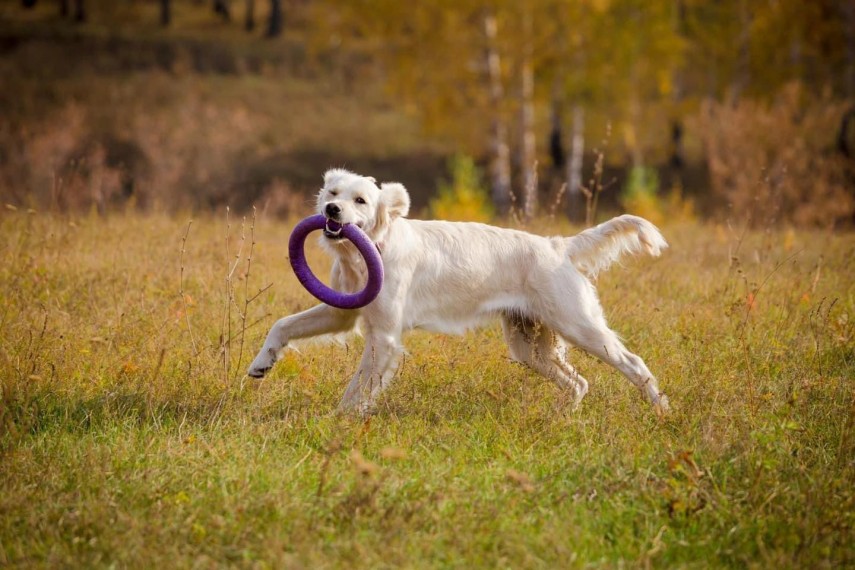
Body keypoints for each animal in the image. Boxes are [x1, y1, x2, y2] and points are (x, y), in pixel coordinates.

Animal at [251, 169, 672, 412]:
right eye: (333, 193)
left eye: (360, 200)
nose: (332, 211)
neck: (373, 249)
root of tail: (558, 246)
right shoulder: (341, 313)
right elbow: (282, 325)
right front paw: (261, 362)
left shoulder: (384, 337)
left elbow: (357, 389)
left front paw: (340, 420)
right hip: (529, 347)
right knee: (578, 382)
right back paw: (566, 418)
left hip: (581, 327)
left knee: (634, 364)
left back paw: (661, 410)